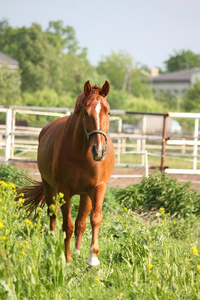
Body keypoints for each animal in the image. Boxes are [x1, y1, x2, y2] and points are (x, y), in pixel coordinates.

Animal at [17, 80, 115, 268]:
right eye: (85, 112)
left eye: (108, 112)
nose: (99, 151)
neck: (82, 154)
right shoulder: (64, 191)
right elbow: (67, 225)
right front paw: (67, 259)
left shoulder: (98, 188)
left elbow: (94, 218)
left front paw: (92, 259)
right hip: (49, 188)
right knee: (53, 215)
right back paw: (53, 243)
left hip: (85, 194)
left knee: (81, 222)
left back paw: (77, 251)